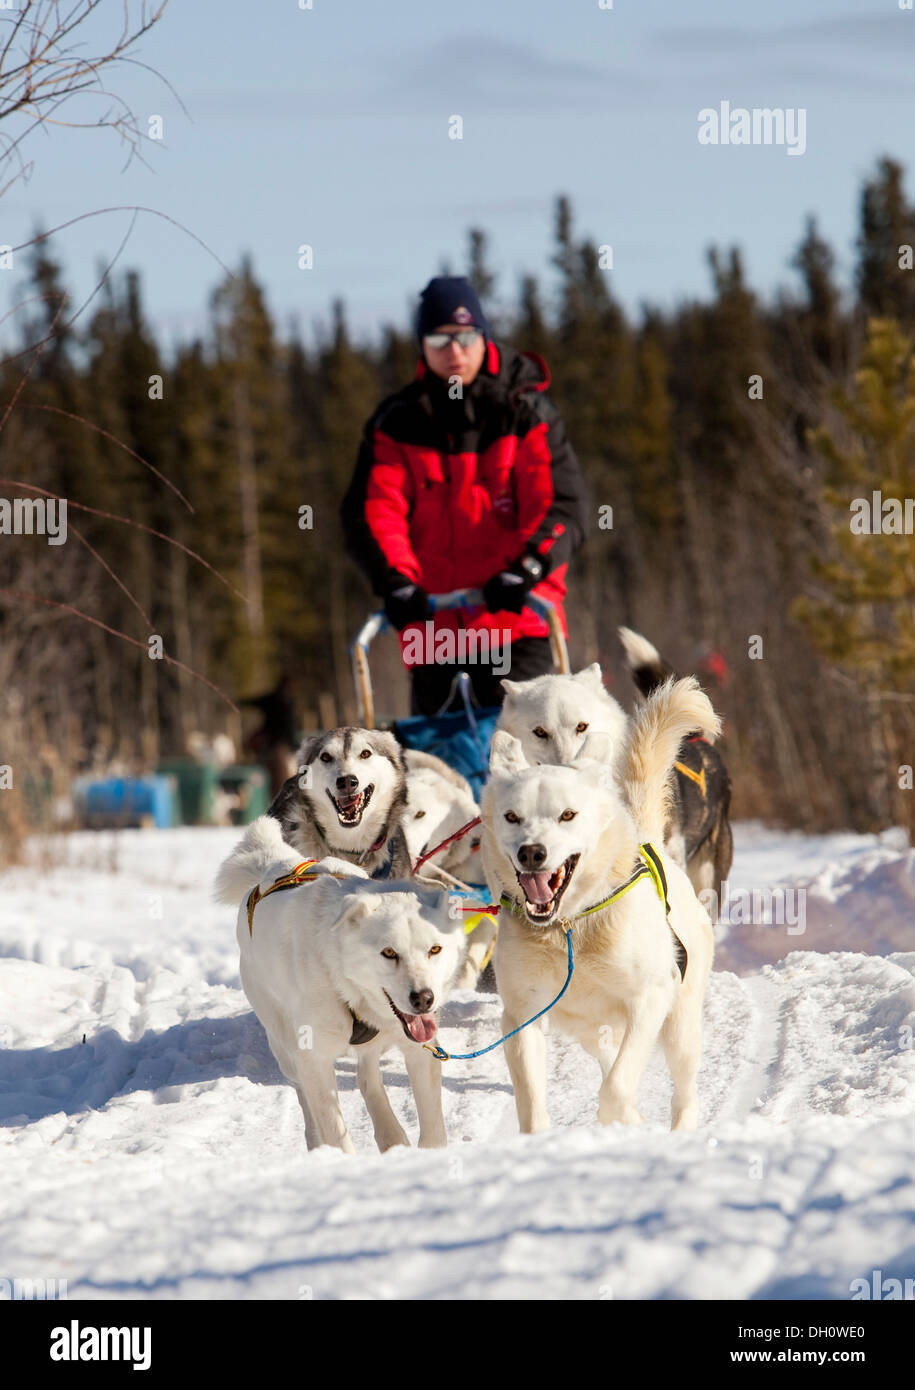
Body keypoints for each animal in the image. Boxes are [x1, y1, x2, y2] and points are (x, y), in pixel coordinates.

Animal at [215, 811, 464, 1150]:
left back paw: (391, 1136)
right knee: (305, 1098)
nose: (424, 998)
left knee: (367, 1077)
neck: (346, 988)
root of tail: (274, 865)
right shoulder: (314, 1059)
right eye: (389, 952)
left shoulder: (420, 1051)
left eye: (435, 950)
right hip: (284, 1047)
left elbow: (433, 1129)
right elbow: (333, 1127)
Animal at [478, 678, 717, 1134]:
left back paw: (681, 1126)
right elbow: (532, 1100)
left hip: (679, 1024)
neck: (568, 928)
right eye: (512, 816)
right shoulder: (522, 1016)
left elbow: (616, 1089)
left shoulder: (649, 999)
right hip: (588, 1027)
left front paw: (624, 1118)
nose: (531, 853)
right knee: (607, 1056)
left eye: (567, 815)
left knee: (684, 1087)